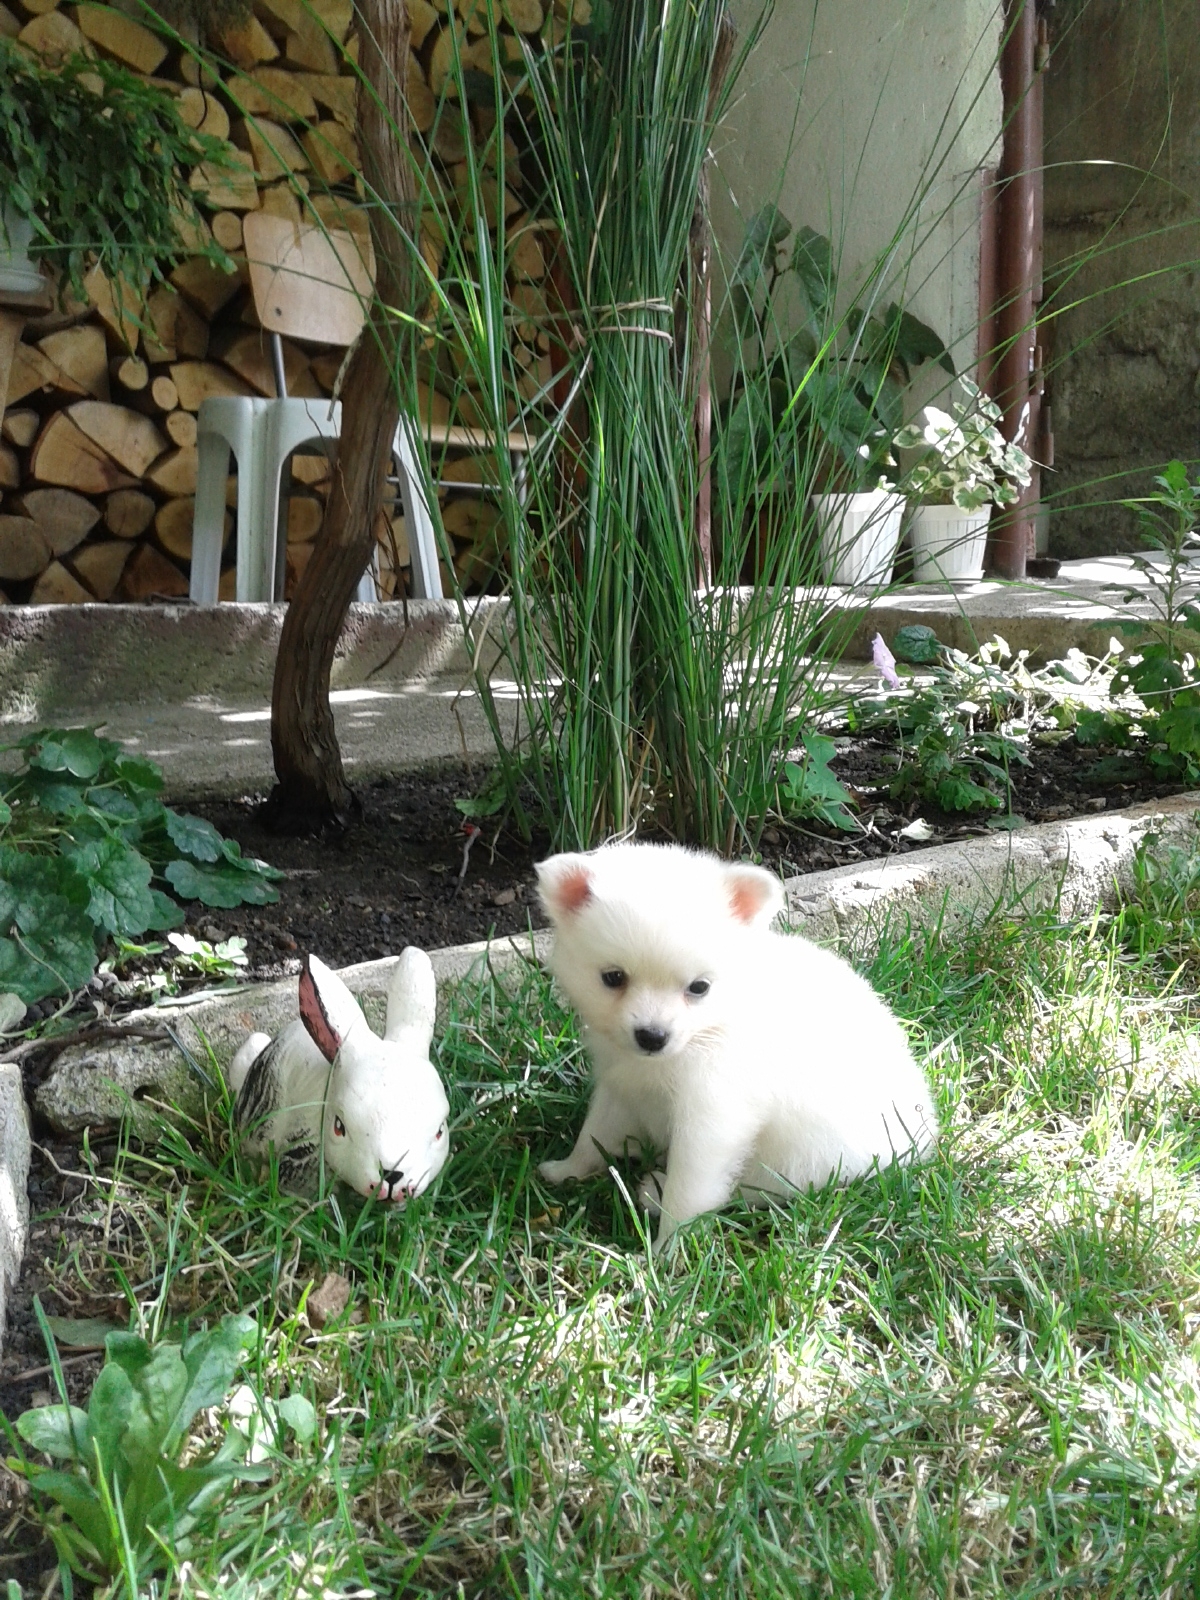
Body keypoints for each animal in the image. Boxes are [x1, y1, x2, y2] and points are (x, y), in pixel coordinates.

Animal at [536, 842, 937, 1248]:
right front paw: (567, 1170)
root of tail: (923, 1138)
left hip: (807, 1162)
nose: (652, 1036)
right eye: (613, 978)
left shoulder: (714, 1114)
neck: (702, 1035)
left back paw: (655, 1190)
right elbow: (594, 1134)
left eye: (699, 987)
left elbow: (690, 1188)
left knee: (757, 1190)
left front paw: (667, 1249)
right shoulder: (621, 1086)